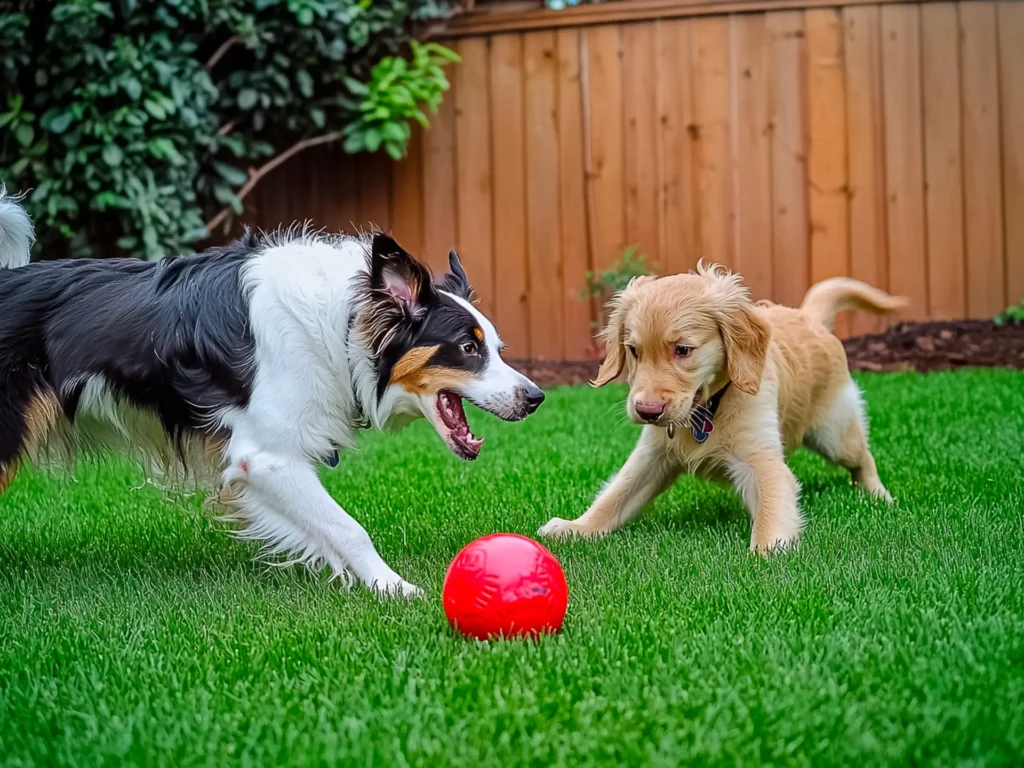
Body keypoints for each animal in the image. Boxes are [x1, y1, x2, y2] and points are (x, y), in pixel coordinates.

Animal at [0, 189, 544, 598]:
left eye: (497, 348)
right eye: (468, 348)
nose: (536, 397)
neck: (339, 327)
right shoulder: (265, 458)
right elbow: (349, 527)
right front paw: (393, 588)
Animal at [540, 264, 909, 552]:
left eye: (683, 350)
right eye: (633, 350)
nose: (647, 410)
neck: (706, 409)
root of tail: (808, 316)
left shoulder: (762, 461)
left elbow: (772, 509)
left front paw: (765, 553)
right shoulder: (652, 455)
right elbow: (616, 495)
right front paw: (577, 527)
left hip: (834, 431)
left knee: (862, 457)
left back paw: (879, 496)